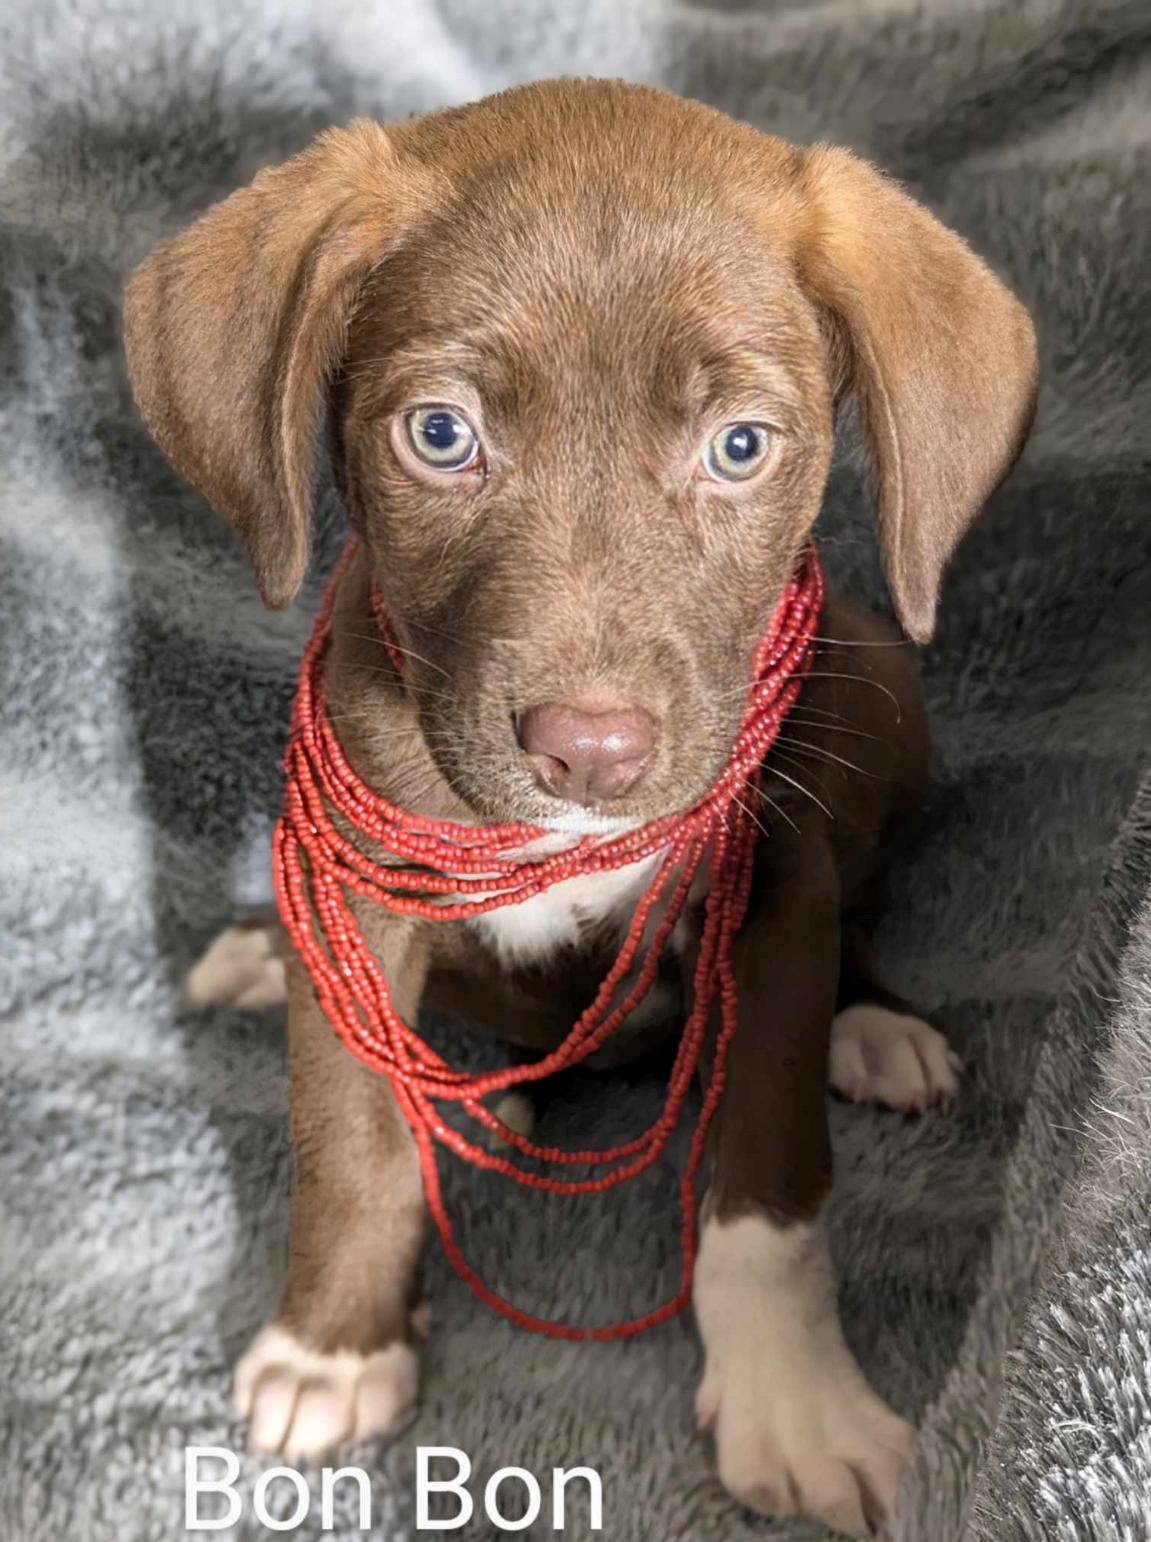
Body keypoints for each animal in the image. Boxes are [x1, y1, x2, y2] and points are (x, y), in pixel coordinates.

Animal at [123, 78, 1030, 1535]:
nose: (590, 754)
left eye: (739, 447)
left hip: (882, 686)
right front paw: (334, 1346)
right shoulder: (366, 895)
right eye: (439, 434)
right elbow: (348, 1138)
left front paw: (795, 1400)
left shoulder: (770, 901)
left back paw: (876, 1025)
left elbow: (770, 1172)